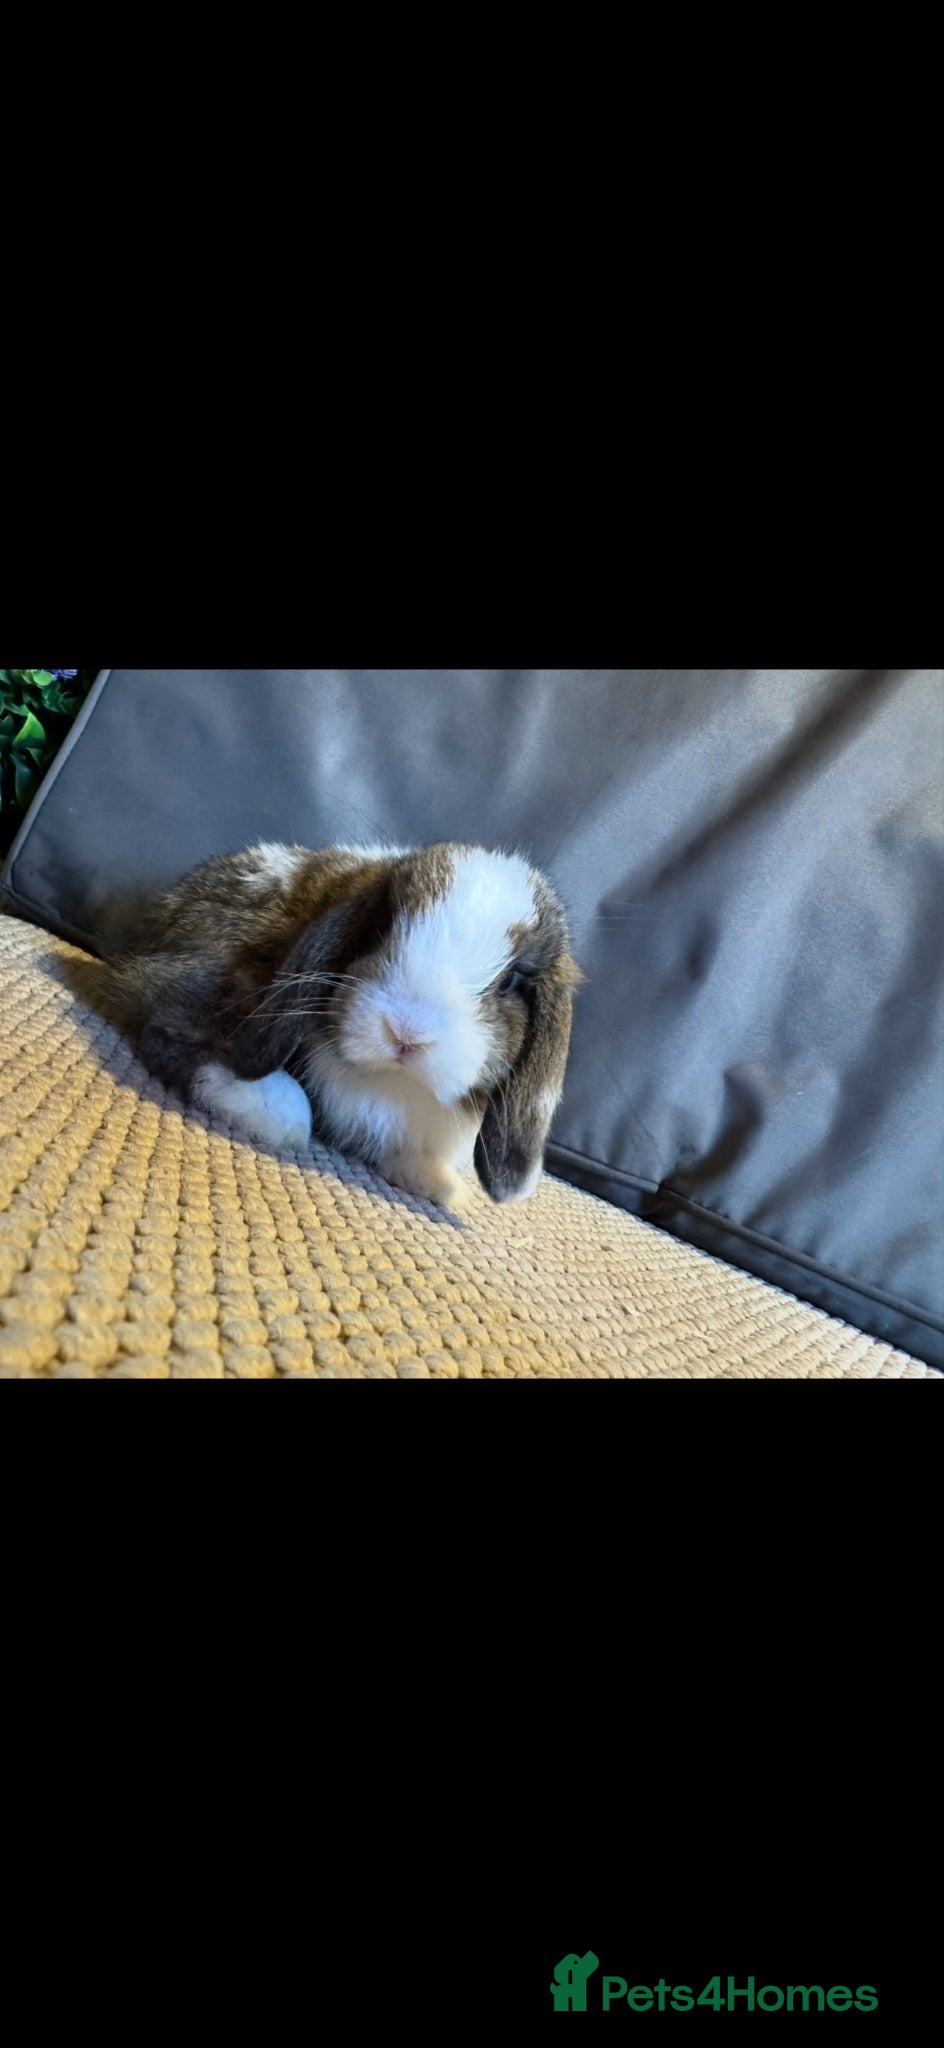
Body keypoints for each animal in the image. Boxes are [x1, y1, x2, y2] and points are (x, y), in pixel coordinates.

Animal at [96, 839, 583, 1213]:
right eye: (382, 927)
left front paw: (442, 1187)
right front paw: (275, 1115)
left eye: (511, 981)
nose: (407, 1031)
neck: (395, 1084)